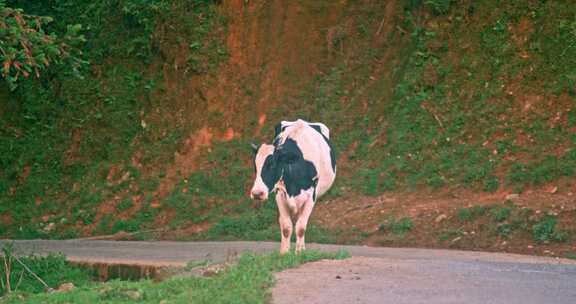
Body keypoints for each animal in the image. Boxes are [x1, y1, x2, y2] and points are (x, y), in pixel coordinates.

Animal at [250, 120, 336, 253]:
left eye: (272, 165)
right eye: (255, 166)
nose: (257, 193)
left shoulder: (311, 196)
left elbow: (301, 227)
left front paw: (299, 252)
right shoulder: (280, 195)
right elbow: (286, 227)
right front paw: (285, 253)